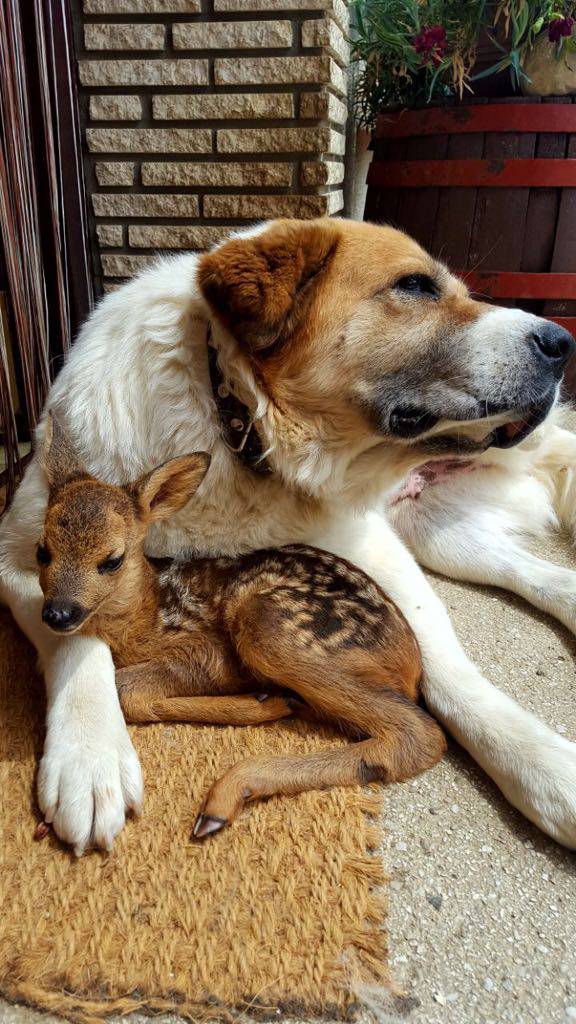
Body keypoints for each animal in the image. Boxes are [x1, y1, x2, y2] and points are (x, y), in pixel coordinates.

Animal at [1, 218, 573, 856]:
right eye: (416, 285)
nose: (561, 343)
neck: (237, 432)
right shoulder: (18, 553)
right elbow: (79, 642)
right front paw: (89, 756)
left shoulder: (370, 550)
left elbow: (447, 669)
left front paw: (543, 767)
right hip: (435, 533)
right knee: (530, 571)